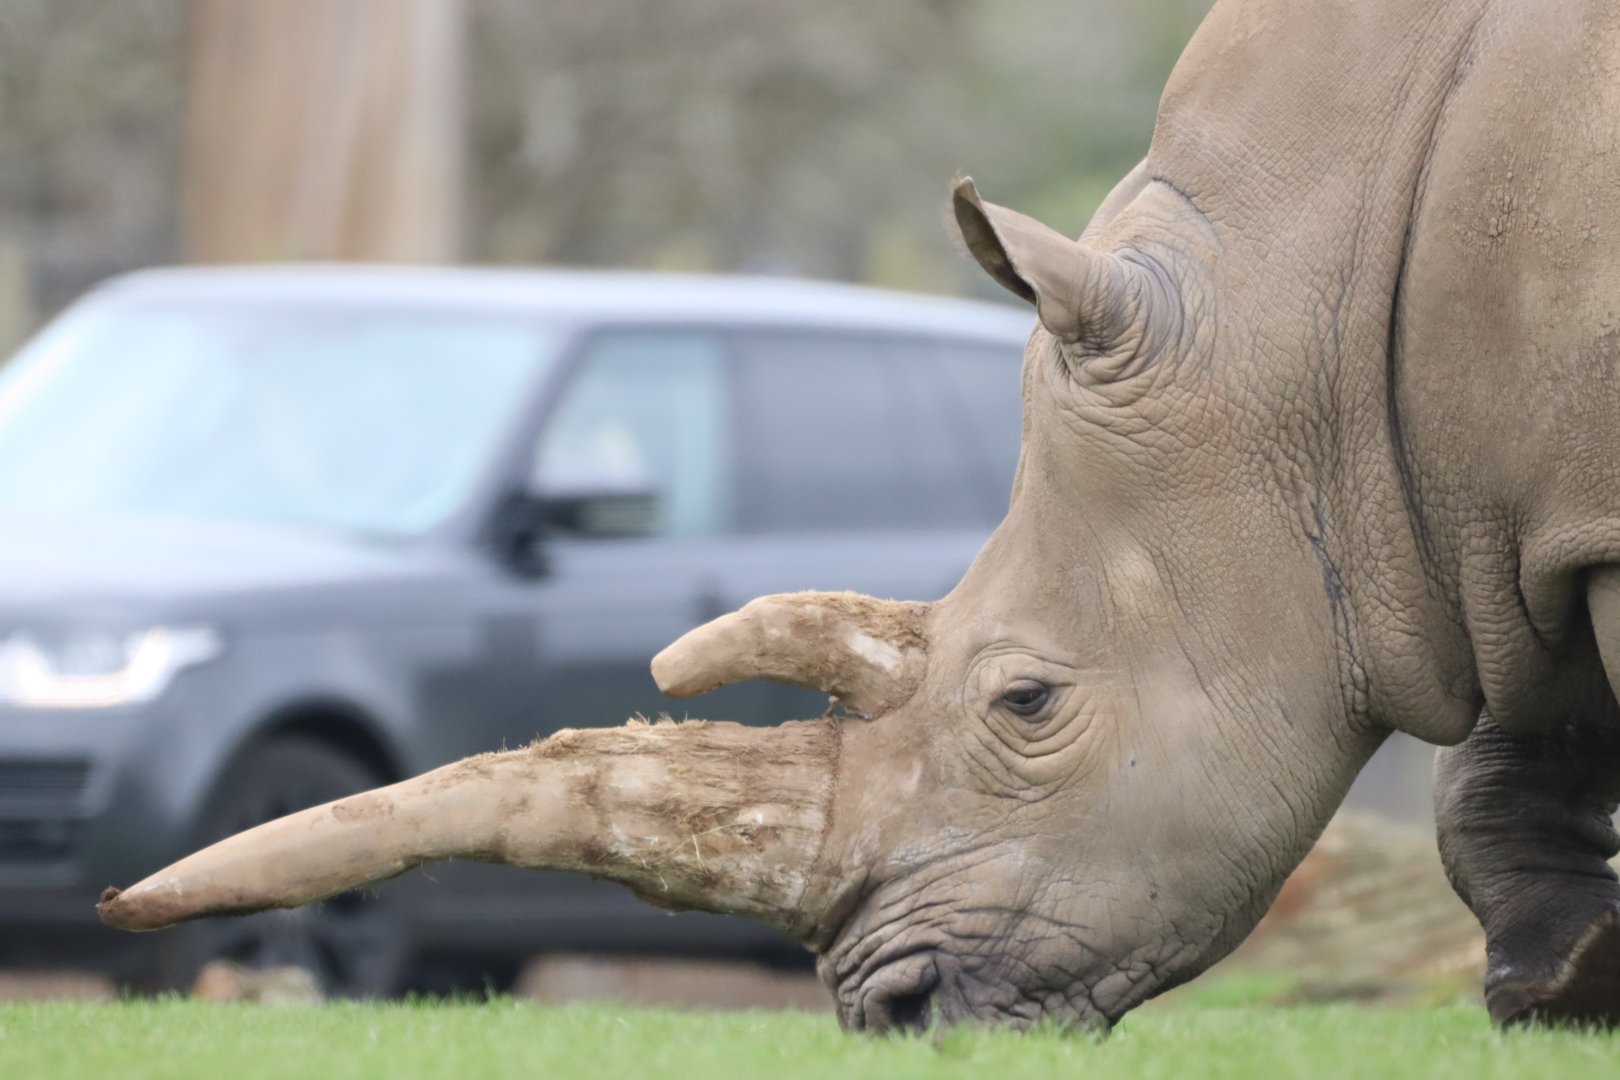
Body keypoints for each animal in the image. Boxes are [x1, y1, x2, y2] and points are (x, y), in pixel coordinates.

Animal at [98, 0, 1620, 1031]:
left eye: (1026, 704)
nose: (893, 1012)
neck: (1307, 310)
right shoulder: (1499, 502)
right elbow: (1516, 739)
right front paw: (1558, 986)